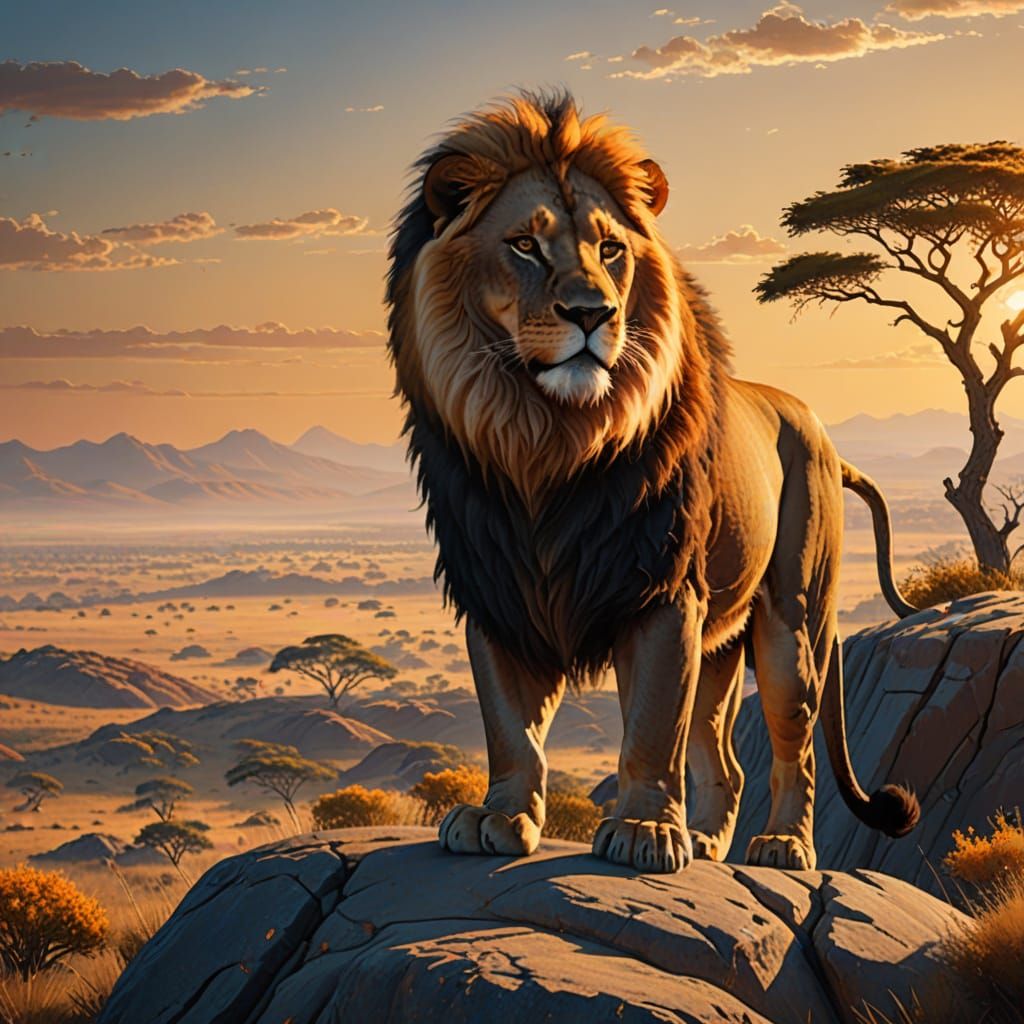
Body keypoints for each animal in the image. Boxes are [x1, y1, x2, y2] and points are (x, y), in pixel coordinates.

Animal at [386, 91, 920, 873]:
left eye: (610, 249)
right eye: (524, 245)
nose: (592, 313)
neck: (545, 444)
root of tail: (820, 432)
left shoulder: (663, 591)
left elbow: (651, 724)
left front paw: (642, 830)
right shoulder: (496, 589)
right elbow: (509, 725)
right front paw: (499, 817)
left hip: (792, 623)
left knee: (793, 746)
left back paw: (783, 846)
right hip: (723, 643)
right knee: (724, 760)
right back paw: (705, 840)